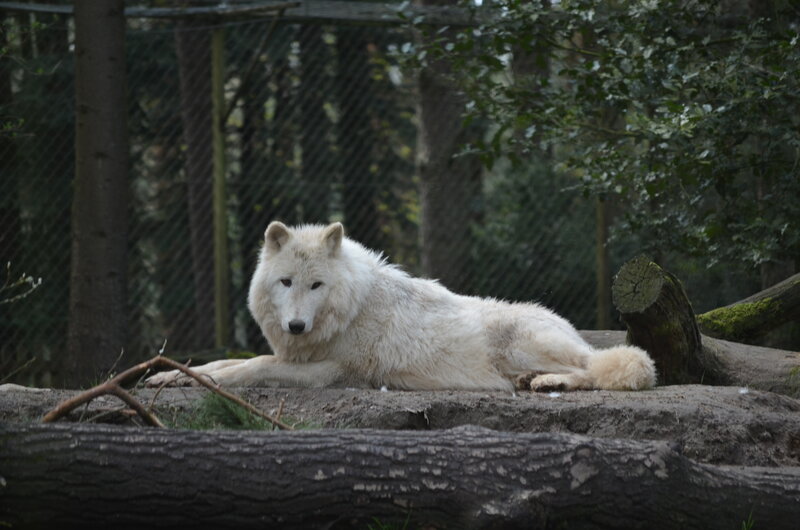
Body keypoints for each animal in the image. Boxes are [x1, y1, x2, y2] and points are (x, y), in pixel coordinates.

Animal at [147, 221, 656, 392]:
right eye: (286, 282)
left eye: (316, 285)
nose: (295, 326)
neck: (349, 309)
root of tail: (572, 331)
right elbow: (223, 362)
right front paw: (170, 375)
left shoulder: (332, 371)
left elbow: (252, 367)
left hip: (520, 343)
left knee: (610, 368)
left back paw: (551, 382)